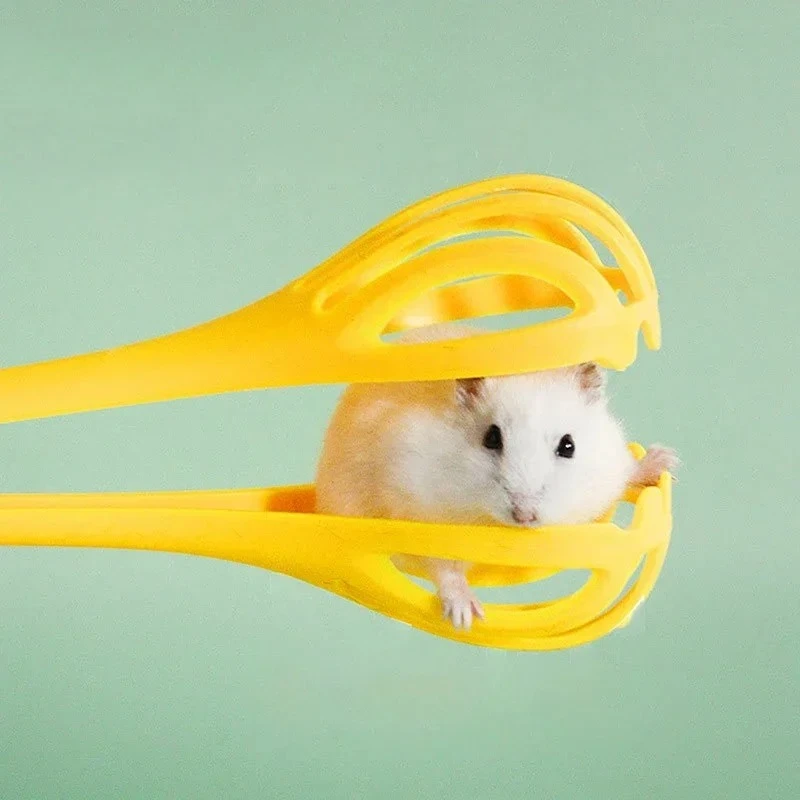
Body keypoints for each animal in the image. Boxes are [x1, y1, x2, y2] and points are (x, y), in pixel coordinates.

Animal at [314, 322, 678, 631]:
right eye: (491, 438)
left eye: (568, 445)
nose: (524, 516)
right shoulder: (417, 509)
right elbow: (443, 566)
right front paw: (466, 617)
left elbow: (628, 470)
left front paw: (666, 461)